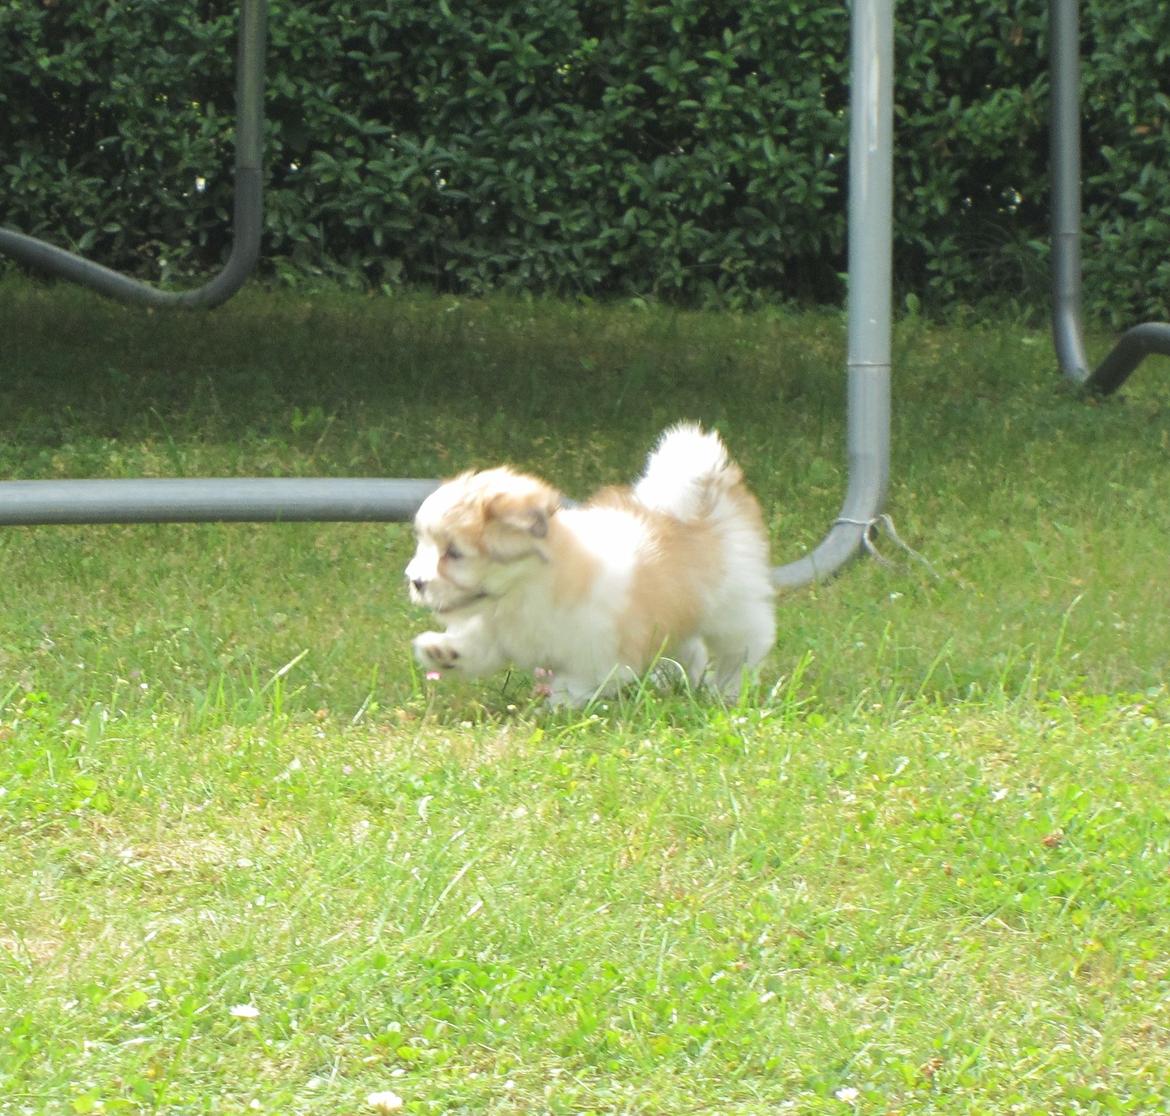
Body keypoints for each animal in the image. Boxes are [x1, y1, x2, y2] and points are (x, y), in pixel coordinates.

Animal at [404, 421, 776, 701]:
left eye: (454, 553)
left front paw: (554, 707)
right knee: (691, 648)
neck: (526, 590)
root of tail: (706, 495)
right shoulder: (498, 631)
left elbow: (578, 683)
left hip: (733, 606)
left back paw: (726, 692)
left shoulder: (600, 656)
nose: (416, 581)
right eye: (424, 545)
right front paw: (444, 652)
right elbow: (479, 648)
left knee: (743, 647)